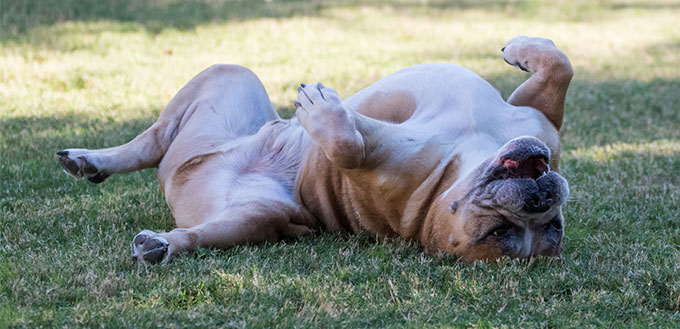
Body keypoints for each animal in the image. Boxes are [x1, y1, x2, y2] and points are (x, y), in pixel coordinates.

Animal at [55, 36, 572, 262]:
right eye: (499, 232)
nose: (541, 198)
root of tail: (181, 180)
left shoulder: (371, 164)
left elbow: (348, 146)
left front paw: (323, 111)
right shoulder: (537, 119)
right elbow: (559, 67)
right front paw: (524, 47)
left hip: (253, 211)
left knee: (180, 187)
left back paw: (161, 242)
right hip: (229, 79)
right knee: (152, 141)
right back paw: (90, 160)